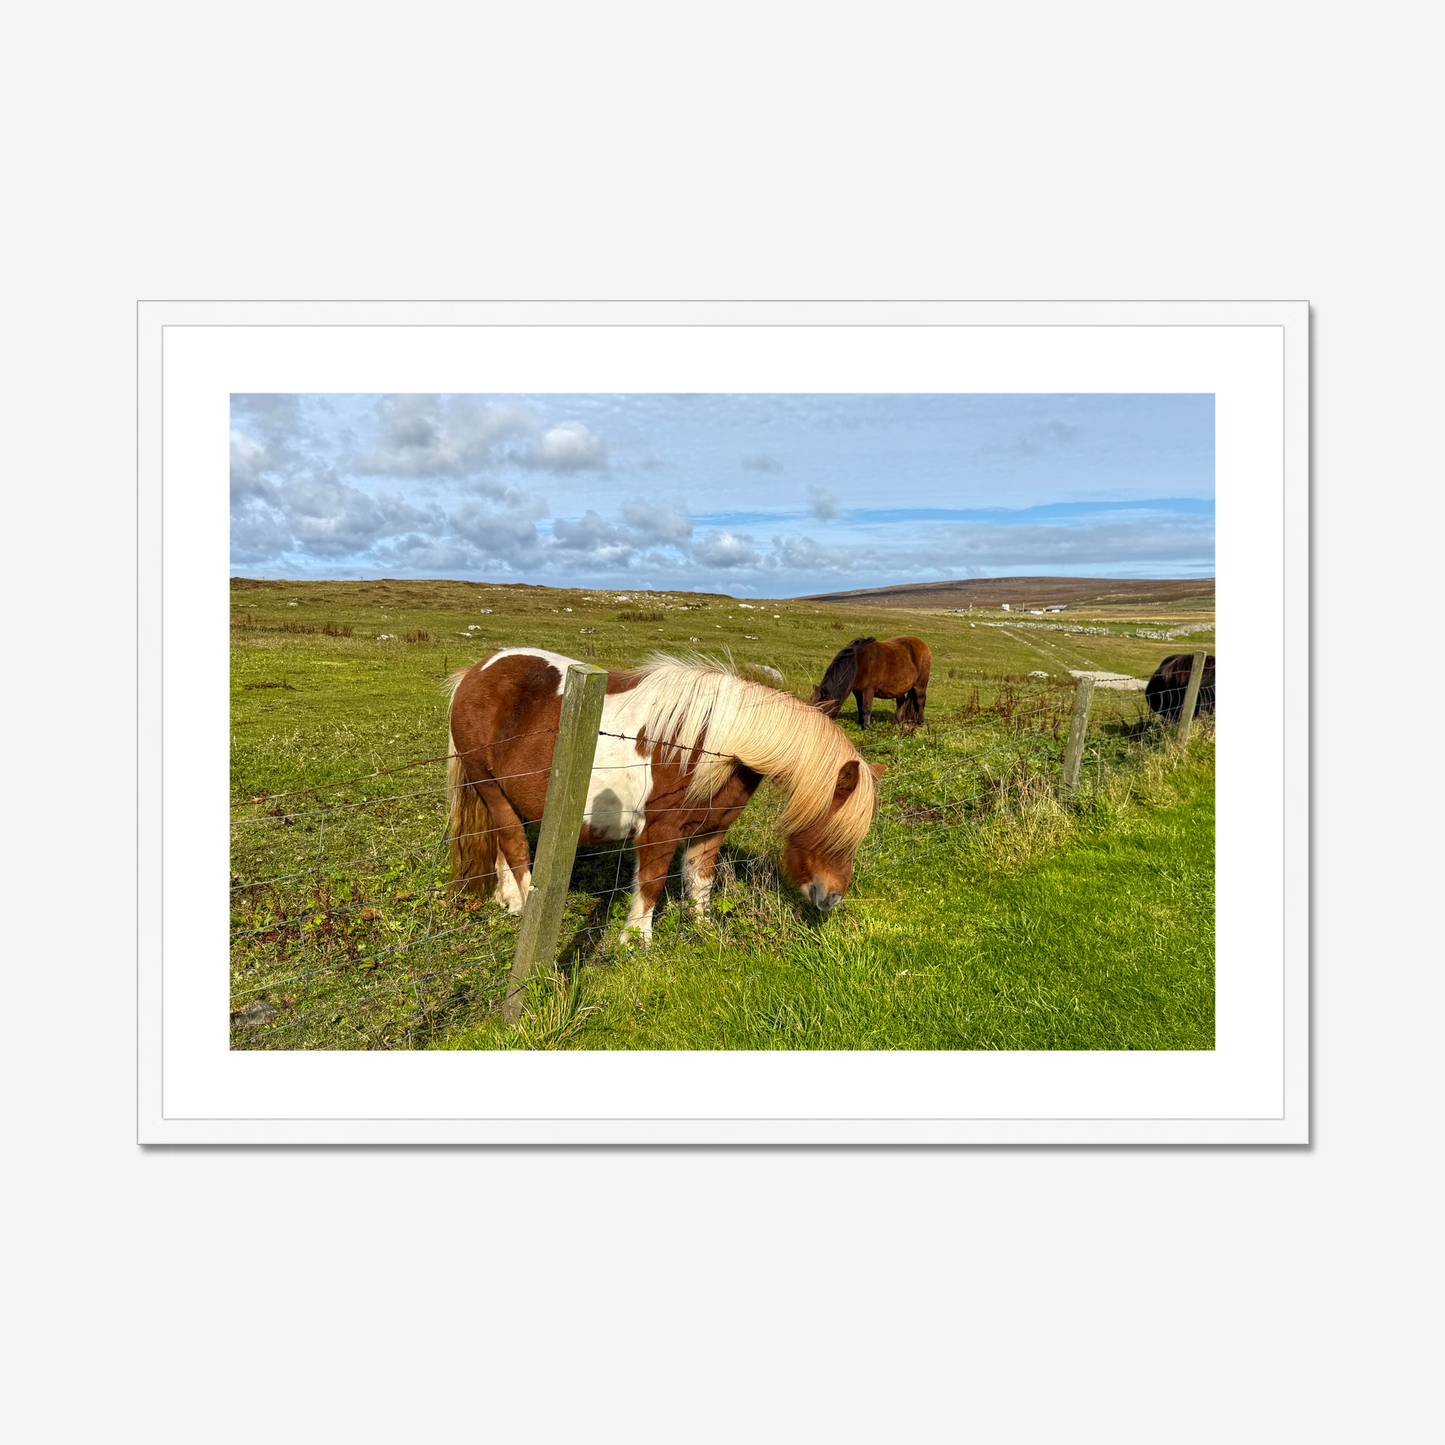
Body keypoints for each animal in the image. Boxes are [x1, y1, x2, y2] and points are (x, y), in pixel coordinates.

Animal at [445, 648, 885, 943]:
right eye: (828, 828)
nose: (832, 899)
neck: (720, 743)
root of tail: (476, 672)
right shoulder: (659, 831)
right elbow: (652, 884)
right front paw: (636, 942)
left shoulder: (710, 830)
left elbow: (701, 883)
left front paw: (703, 929)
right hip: (489, 787)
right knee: (515, 846)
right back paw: (524, 906)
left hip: (504, 796)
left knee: (502, 843)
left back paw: (508, 900)